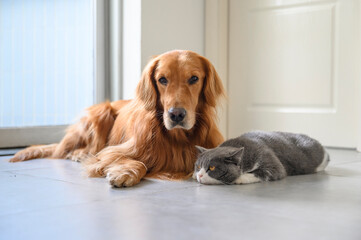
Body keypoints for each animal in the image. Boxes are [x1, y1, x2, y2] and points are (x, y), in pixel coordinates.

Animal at [193, 132, 328, 185]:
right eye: (198, 166)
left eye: (212, 167)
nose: (199, 175)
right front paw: (194, 175)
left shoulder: (269, 159)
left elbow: (264, 172)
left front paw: (239, 178)